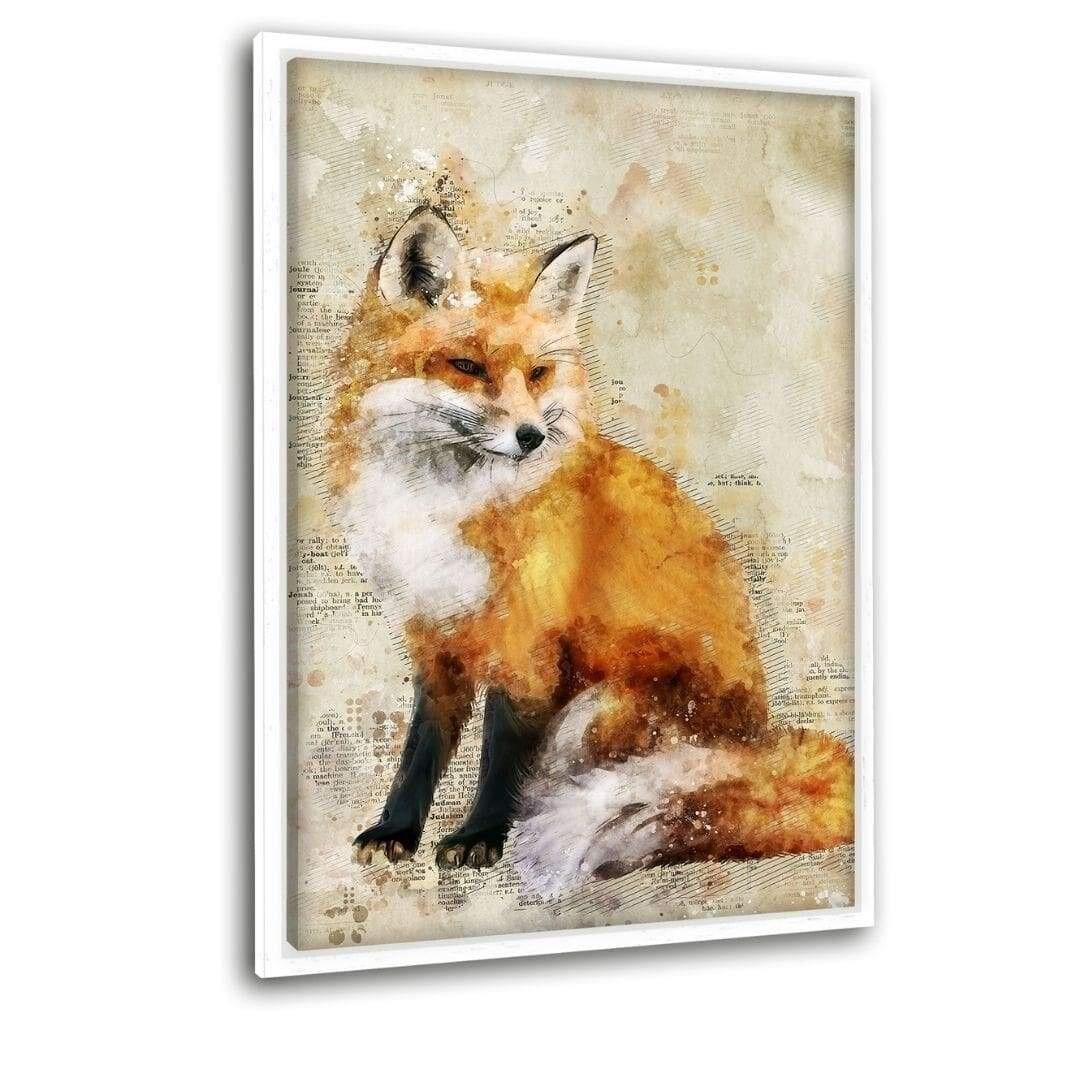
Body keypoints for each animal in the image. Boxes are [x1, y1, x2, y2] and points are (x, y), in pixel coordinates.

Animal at [329, 204, 854, 896]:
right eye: (467, 366)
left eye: (538, 373)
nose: (531, 436)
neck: (451, 503)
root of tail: (756, 741)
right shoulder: (434, 633)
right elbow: (421, 748)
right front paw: (395, 831)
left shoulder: (527, 640)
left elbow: (500, 754)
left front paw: (480, 836)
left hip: (593, 709)